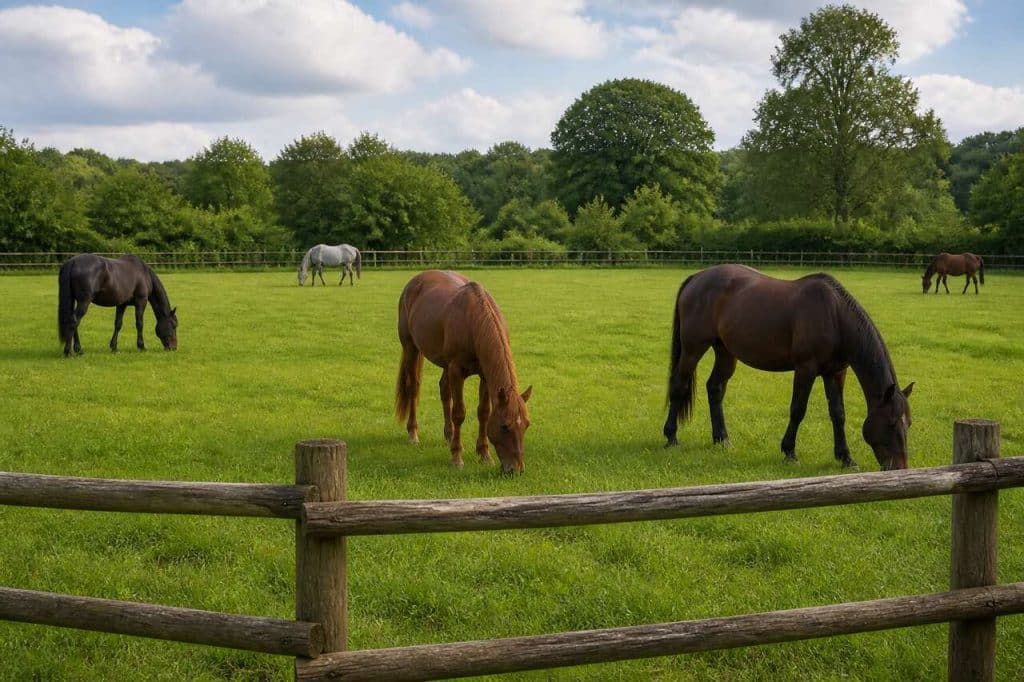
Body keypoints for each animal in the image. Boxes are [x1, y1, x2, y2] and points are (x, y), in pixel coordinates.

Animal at [395, 270, 533, 474]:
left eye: (526, 425)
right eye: (504, 426)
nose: (515, 469)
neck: (473, 321)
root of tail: (414, 281)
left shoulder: (484, 375)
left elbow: (483, 412)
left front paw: (484, 454)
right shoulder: (456, 371)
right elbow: (459, 413)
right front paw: (457, 458)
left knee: (444, 390)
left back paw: (449, 435)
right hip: (411, 348)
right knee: (413, 388)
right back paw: (413, 433)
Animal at [663, 264, 914, 471]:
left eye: (908, 424)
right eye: (891, 423)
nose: (900, 468)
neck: (834, 316)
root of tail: (696, 278)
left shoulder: (835, 372)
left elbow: (838, 413)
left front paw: (845, 458)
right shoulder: (806, 369)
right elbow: (798, 409)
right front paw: (789, 452)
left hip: (725, 351)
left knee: (715, 388)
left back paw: (722, 439)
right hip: (693, 348)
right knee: (679, 385)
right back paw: (671, 437)